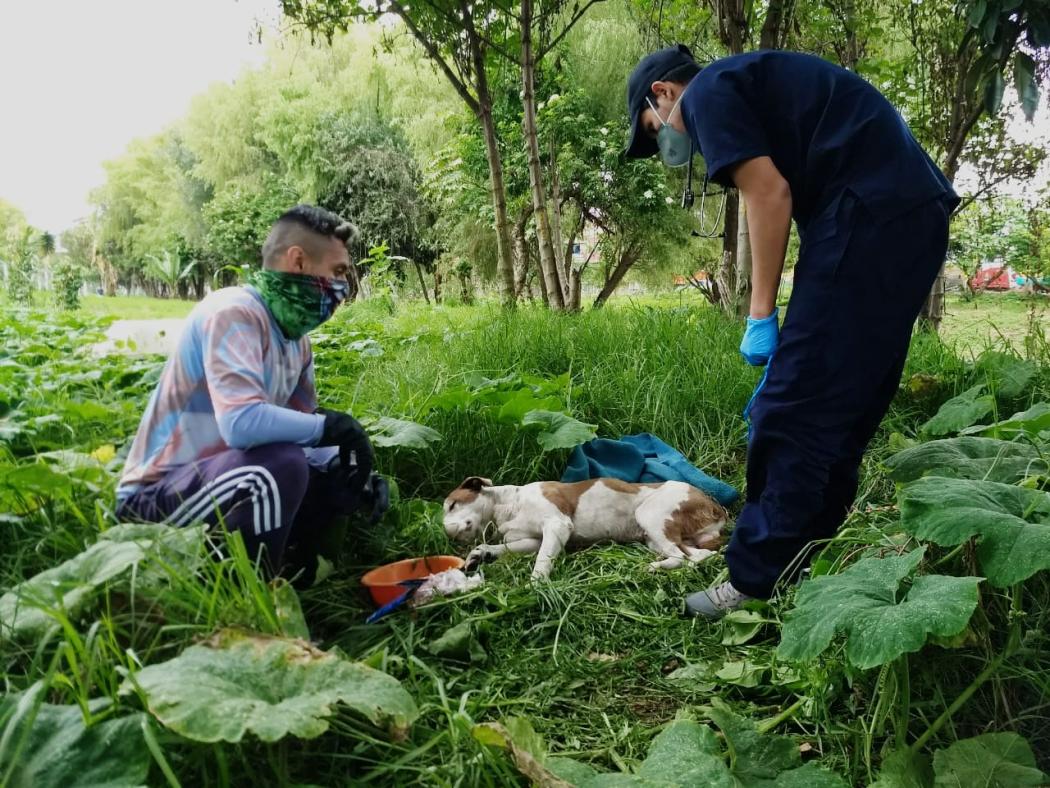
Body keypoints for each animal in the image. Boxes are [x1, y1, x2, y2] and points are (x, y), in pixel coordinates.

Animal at [438, 474, 726, 579]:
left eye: (452, 505)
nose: (447, 533)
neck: (509, 505)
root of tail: (716, 507)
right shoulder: (530, 540)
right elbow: (504, 547)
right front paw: (481, 553)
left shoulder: (556, 525)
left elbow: (542, 560)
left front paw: (536, 586)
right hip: (658, 538)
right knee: (696, 556)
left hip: (651, 515)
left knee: (684, 558)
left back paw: (654, 568)